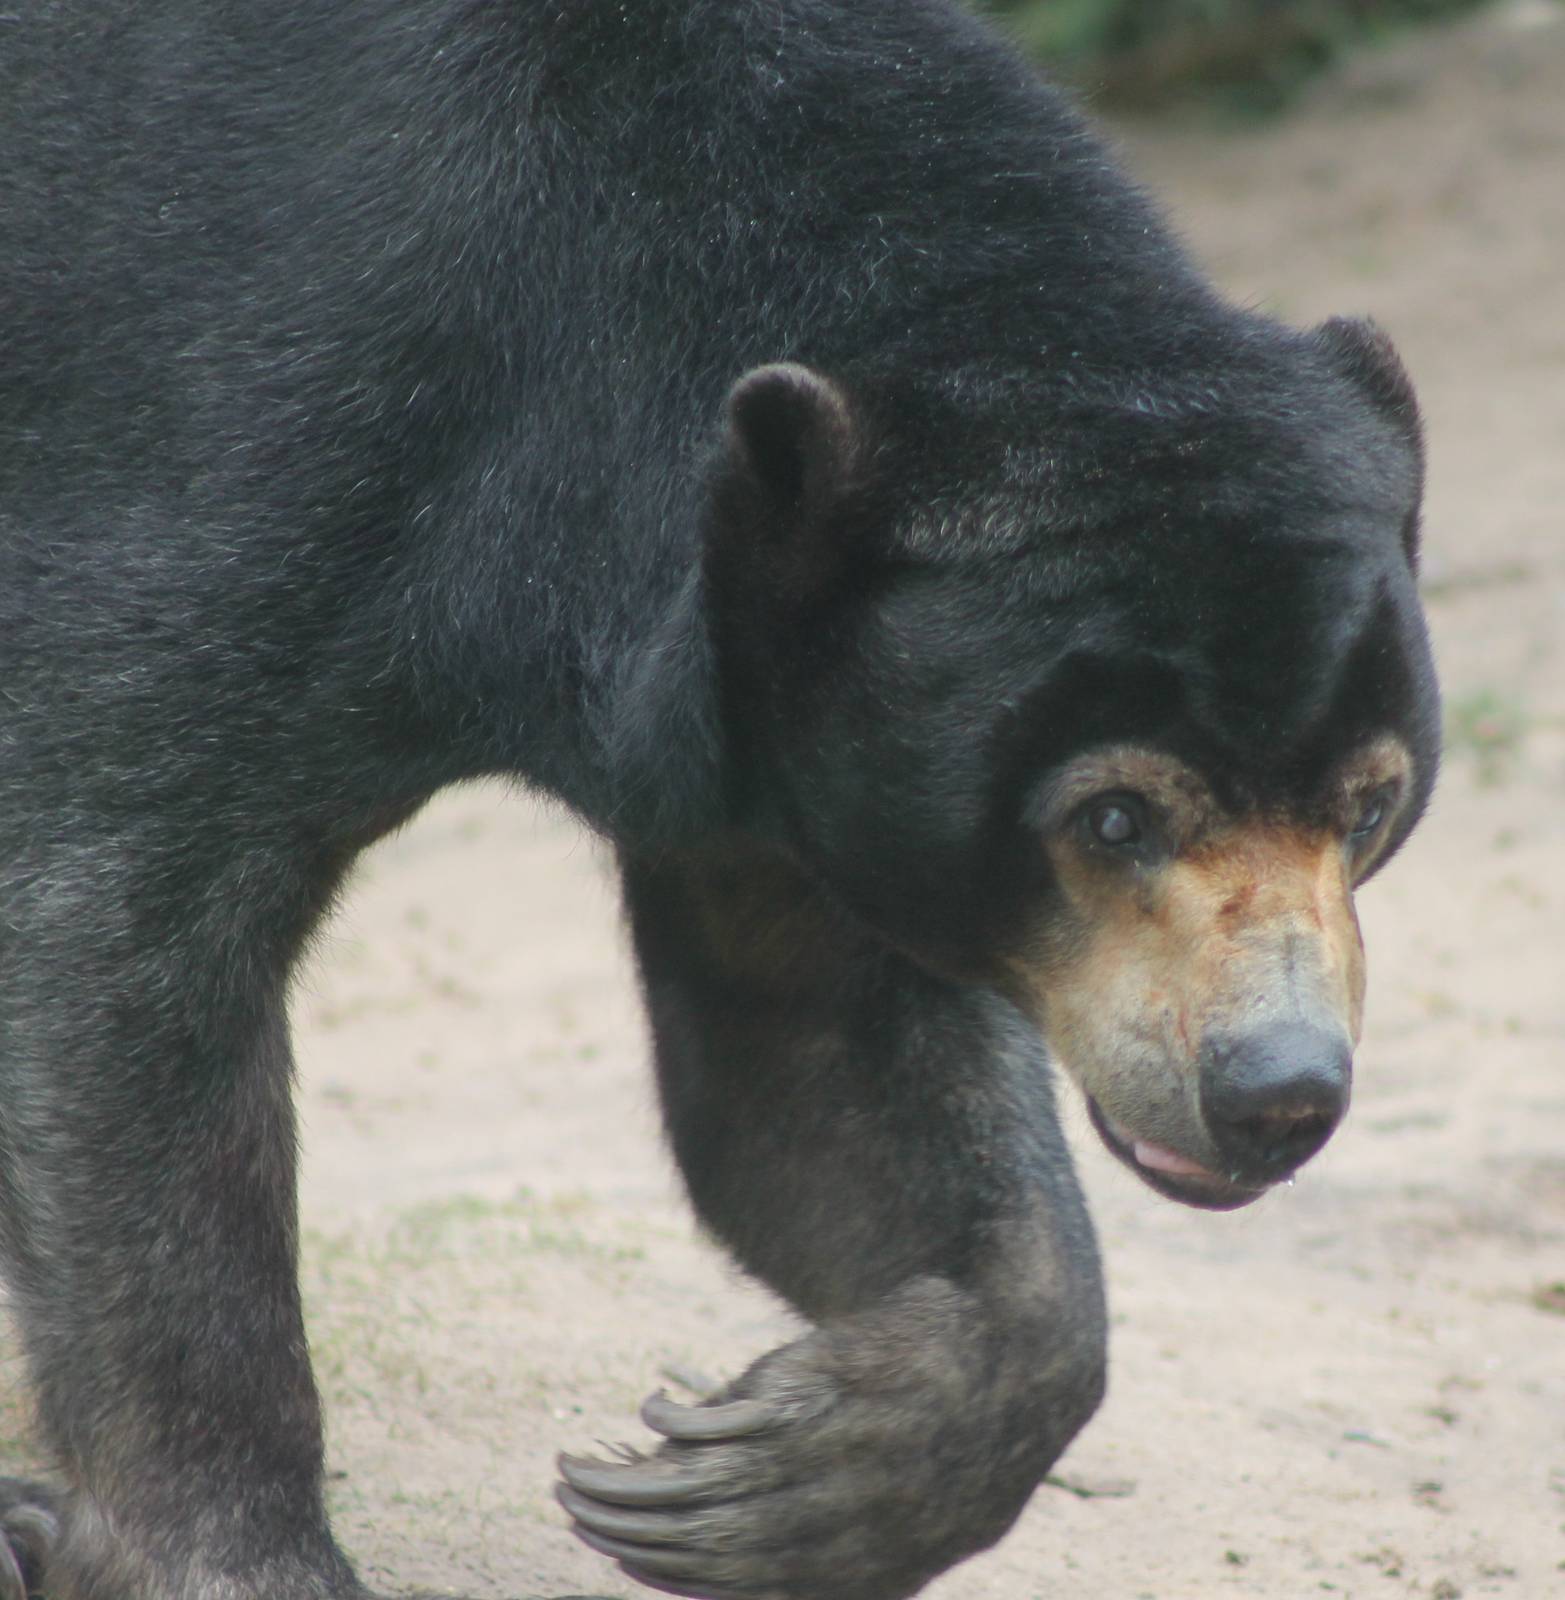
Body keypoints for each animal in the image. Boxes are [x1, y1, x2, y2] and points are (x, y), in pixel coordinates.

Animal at [0, 1, 1438, 1598]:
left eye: (1368, 807)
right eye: (1112, 816)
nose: (1276, 1095)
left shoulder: (780, 714)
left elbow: (816, 1062)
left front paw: (781, 1474)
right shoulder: (252, 452)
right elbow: (122, 935)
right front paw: (226, 1555)